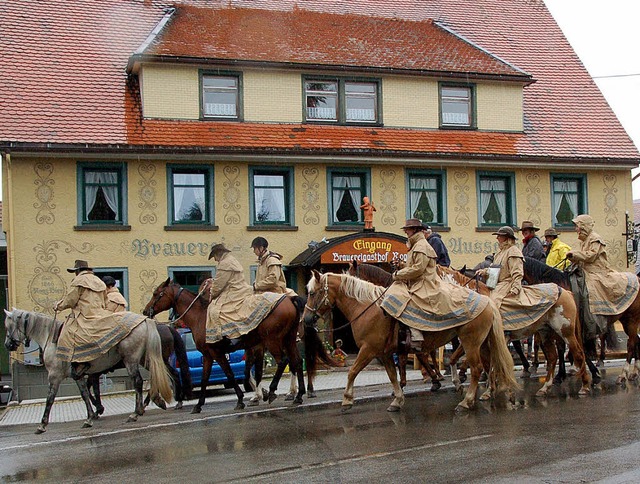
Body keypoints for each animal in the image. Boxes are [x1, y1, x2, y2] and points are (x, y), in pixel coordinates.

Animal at [3, 308, 174, 432]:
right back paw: (158, 401)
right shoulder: (78, 376)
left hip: (131, 360)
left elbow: (50, 399)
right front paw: (91, 417)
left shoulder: (54, 376)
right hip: (147, 359)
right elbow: (85, 393)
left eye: (8, 326)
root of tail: (146, 321)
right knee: (163, 375)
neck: (51, 339)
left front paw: (42, 424)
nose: (7, 345)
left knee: (138, 381)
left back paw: (136, 412)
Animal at [141, 280, 330, 412]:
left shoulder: (217, 353)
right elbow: (205, 379)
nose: (145, 311)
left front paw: (241, 400)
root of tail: (290, 300)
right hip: (288, 340)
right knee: (296, 362)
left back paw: (274, 391)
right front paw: (198, 405)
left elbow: (231, 375)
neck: (201, 316)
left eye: (156, 293)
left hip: (274, 341)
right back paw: (298, 395)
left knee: (284, 361)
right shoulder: (209, 356)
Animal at [302, 270, 516, 410]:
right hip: (483, 344)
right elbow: (392, 375)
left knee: (477, 369)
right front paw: (398, 399)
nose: (305, 319)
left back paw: (467, 400)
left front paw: (347, 399)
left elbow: (352, 371)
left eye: (312, 293)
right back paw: (486, 391)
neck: (368, 308)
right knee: (489, 364)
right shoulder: (385, 353)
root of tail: (487, 300)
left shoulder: (368, 349)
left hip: (471, 343)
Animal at [440, 264, 592, 398]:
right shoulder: (476, 340)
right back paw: (544, 388)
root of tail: (566, 292)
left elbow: (490, 365)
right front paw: (459, 383)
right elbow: (454, 359)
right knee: (552, 357)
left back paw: (584, 386)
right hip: (546, 333)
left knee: (578, 353)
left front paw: (489, 390)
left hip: (565, 331)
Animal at [520, 255, 640, 384]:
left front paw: (591, 372)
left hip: (632, 319)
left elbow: (577, 348)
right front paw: (561, 374)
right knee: (635, 340)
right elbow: (562, 348)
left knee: (630, 344)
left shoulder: (570, 326)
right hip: (626, 320)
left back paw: (623, 374)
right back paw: (634, 372)